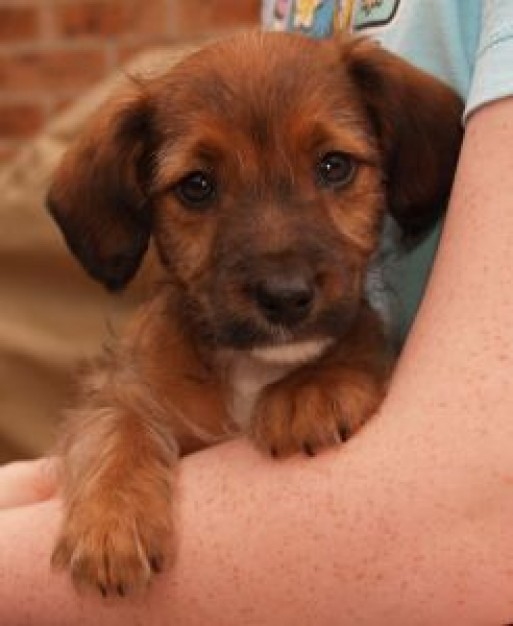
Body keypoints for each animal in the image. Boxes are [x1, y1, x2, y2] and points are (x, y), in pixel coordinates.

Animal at [48, 33, 462, 596]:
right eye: (197, 186)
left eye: (334, 166)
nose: (285, 296)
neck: (251, 366)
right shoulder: (123, 389)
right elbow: (116, 424)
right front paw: (112, 520)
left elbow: (358, 336)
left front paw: (312, 388)